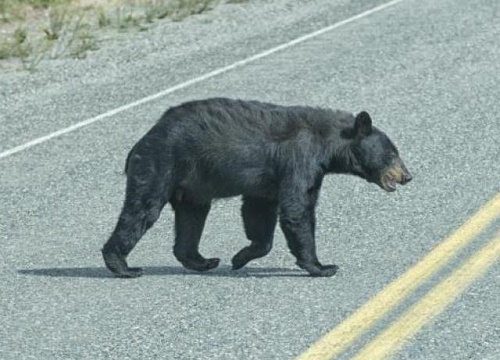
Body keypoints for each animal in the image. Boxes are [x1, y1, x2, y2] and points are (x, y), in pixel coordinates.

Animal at [100, 98, 410, 278]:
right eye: (392, 153)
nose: (407, 176)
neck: (328, 143)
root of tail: (141, 141)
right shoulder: (300, 159)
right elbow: (297, 208)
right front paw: (322, 266)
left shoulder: (269, 180)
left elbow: (259, 211)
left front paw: (240, 258)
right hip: (161, 164)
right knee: (142, 209)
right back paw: (123, 266)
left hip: (192, 186)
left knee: (192, 216)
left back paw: (203, 261)